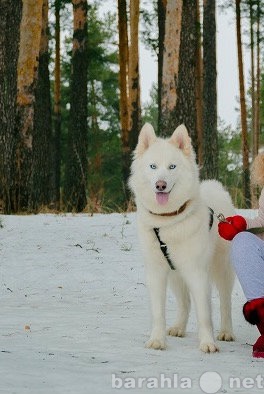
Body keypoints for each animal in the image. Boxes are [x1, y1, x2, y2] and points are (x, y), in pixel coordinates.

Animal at [129, 124, 235, 354]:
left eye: (172, 167)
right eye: (153, 166)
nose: (160, 185)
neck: (169, 221)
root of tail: (215, 187)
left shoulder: (197, 273)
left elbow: (204, 314)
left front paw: (207, 343)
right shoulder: (157, 273)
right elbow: (158, 313)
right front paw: (157, 340)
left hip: (222, 270)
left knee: (225, 303)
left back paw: (226, 332)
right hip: (176, 276)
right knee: (185, 302)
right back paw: (178, 327)